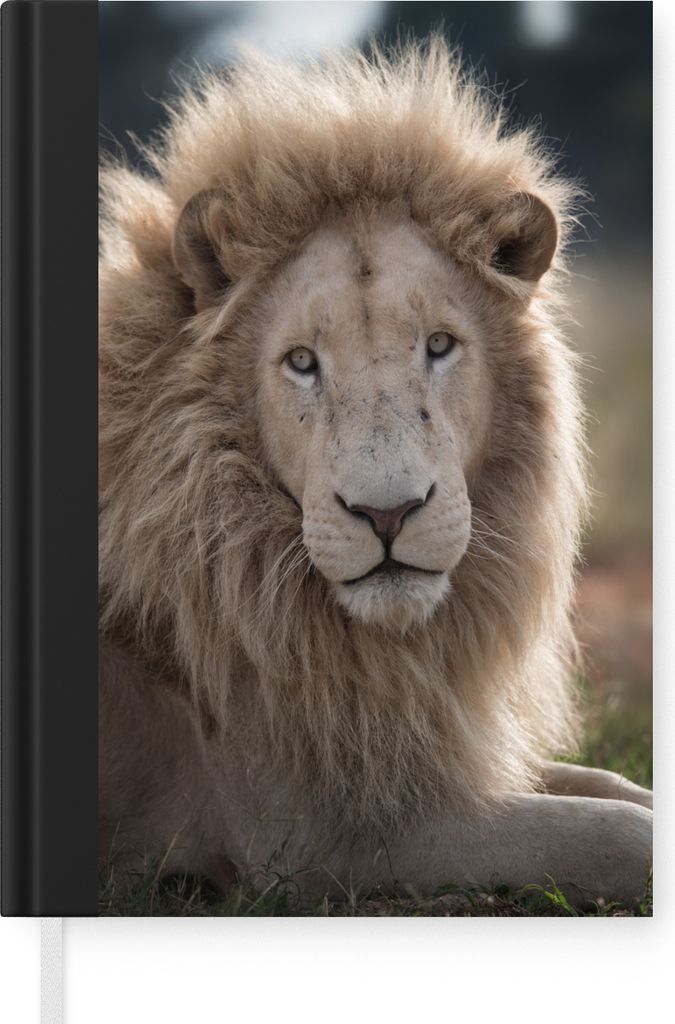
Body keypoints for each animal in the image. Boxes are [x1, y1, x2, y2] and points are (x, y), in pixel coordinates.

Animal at [99, 40, 652, 909]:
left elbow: (614, 788)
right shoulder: (323, 841)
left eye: (439, 345)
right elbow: (615, 834)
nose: (387, 514)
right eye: (301, 362)